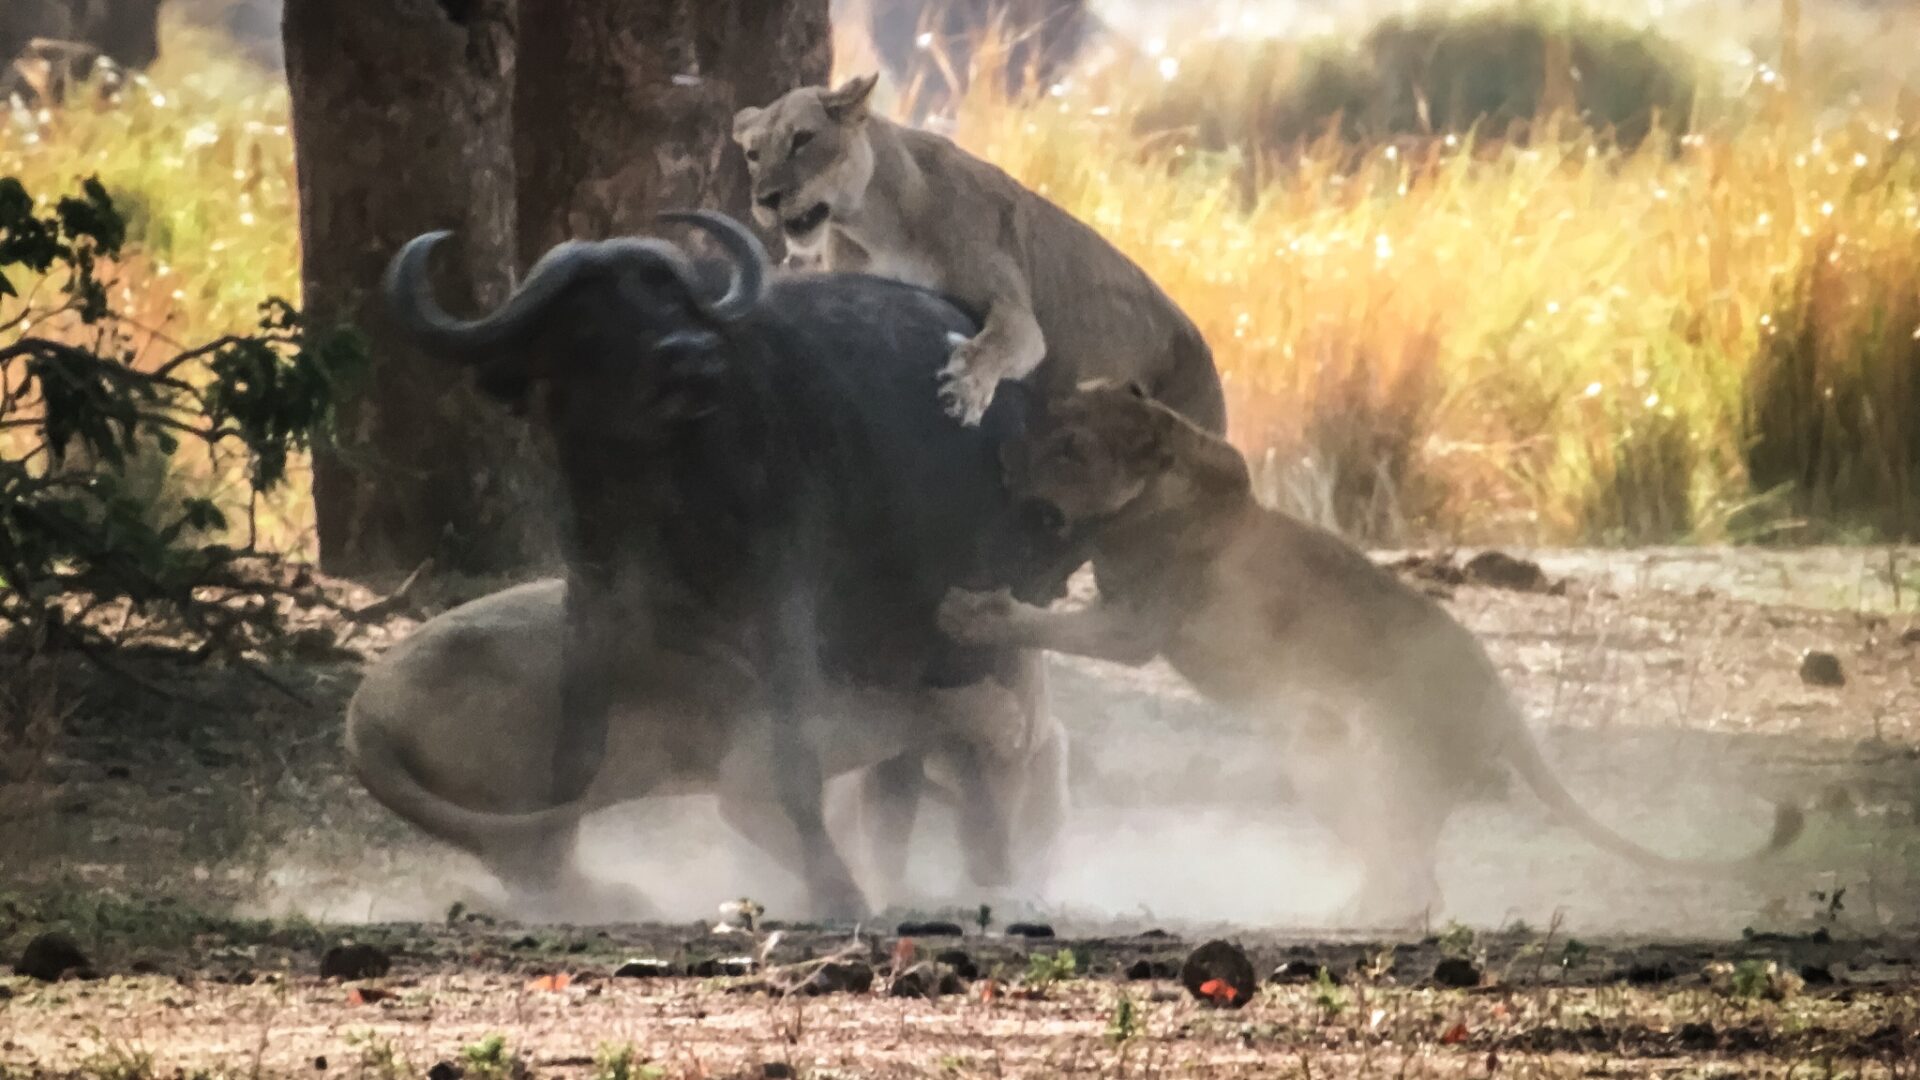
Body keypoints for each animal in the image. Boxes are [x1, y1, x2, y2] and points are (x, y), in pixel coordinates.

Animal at [347, 579, 1068, 922]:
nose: (1036, 735)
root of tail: (362, 712)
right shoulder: (752, 775)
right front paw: (848, 904)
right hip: (533, 772)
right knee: (537, 870)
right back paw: (627, 901)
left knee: (534, 868)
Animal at [730, 74, 1225, 432]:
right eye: (753, 153)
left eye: (802, 139)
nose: (766, 199)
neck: (872, 223)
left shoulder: (1018, 313)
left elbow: (998, 342)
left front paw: (966, 387)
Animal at [937, 383, 1803, 923]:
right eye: (1053, 415)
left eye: (1072, 447)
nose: (1005, 458)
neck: (1157, 489)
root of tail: (1502, 699)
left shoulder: (1134, 628)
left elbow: (1041, 625)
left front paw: (970, 613)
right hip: (1327, 766)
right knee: (1405, 870)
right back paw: (1334, 911)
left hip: (1376, 772)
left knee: (1419, 881)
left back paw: (1341, 922)